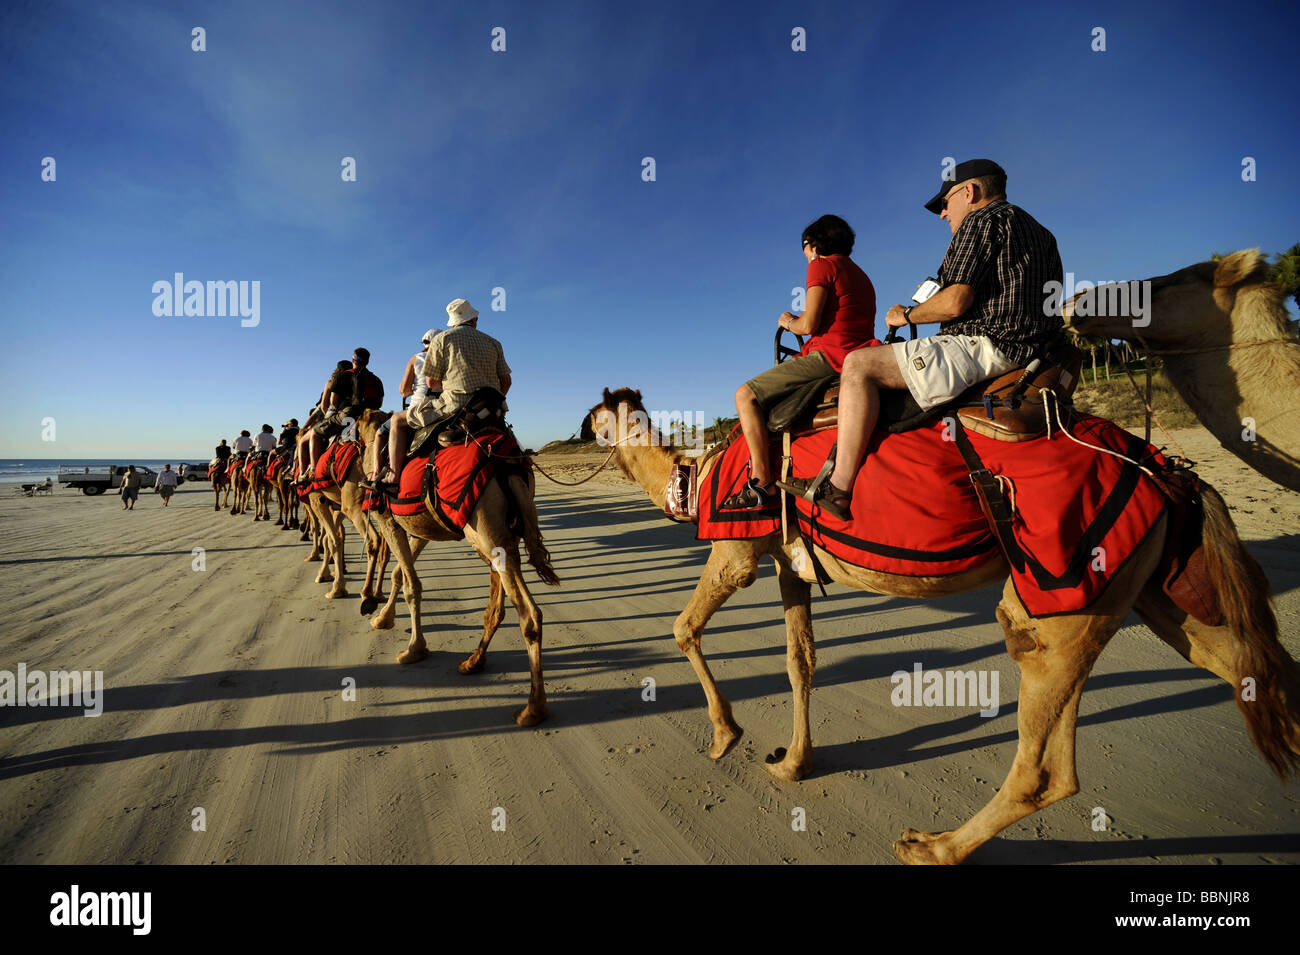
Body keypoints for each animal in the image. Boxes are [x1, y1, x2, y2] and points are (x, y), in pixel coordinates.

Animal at [356, 407, 559, 727]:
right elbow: (400, 573)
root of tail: (509, 466)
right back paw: (473, 662)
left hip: (483, 528)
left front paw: (414, 649)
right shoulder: (419, 526)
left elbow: (412, 585)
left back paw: (532, 708)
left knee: (529, 614)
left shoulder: (388, 518)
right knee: (497, 605)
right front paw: (382, 618)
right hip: (500, 535)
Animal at [585, 384, 1300, 862]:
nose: (582, 431)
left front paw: (725, 736)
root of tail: (1169, 472)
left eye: (595, 417)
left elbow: (683, 628)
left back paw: (934, 845)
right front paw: (792, 764)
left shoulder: (737, 548)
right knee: (1252, 671)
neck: (696, 478)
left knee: (1043, 756)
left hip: (1067, 585)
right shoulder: (791, 564)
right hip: (1149, 589)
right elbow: (800, 661)